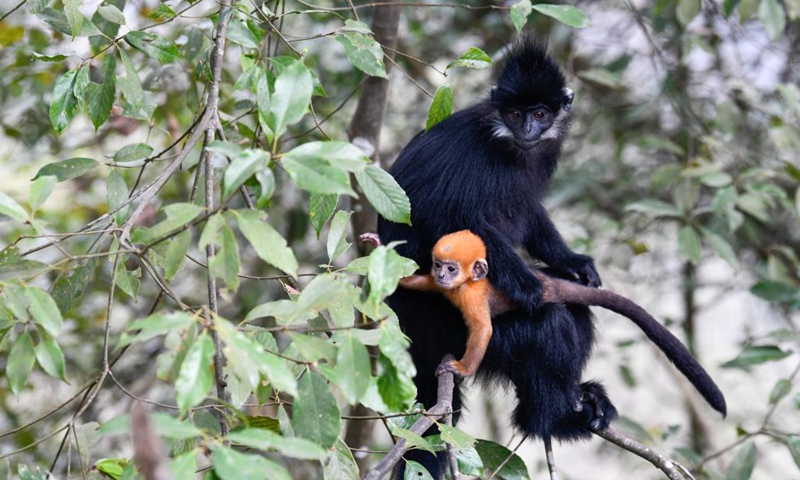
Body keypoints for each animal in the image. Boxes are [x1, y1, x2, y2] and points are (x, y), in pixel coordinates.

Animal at [376, 36, 726, 478]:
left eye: (540, 113)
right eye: (515, 113)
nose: (527, 128)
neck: (506, 143)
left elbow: (529, 212)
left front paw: (573, 262)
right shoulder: (473, 161)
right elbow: (450, 219)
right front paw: (528, 287)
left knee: (575, 313)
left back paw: (578, 398)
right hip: (446, 330)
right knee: (547, 325)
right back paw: (549, 419)